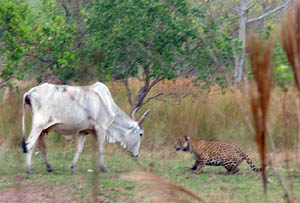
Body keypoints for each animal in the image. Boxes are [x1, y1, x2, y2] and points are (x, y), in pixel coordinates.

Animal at [22, 81, 150, 174]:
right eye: (141, 134)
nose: (136, 155)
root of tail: (31, 92)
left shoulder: (84, 131)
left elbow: (79, 149)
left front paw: (73, 167)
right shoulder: (101, 128)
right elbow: (101, 148)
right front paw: (103, 168)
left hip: (42, 129)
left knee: (42, 147)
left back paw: (49, 168)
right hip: (38, 125)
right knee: (30, 144)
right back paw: (28, 169)